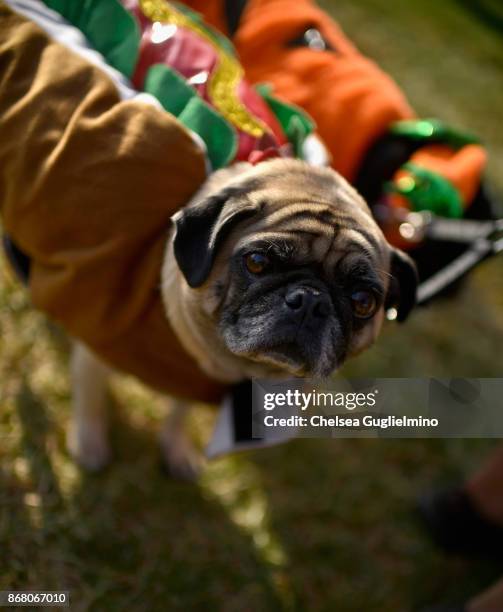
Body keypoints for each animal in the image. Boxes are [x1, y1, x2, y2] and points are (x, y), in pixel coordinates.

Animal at [70, 160, 418, 476]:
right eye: (257, 262)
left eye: (363, 302)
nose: (310, 300)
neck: (229, 363)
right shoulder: (99, 341)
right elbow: (91, 397)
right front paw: (89, 445)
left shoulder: (194, 377)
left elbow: (180, 411)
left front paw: (176, 448)